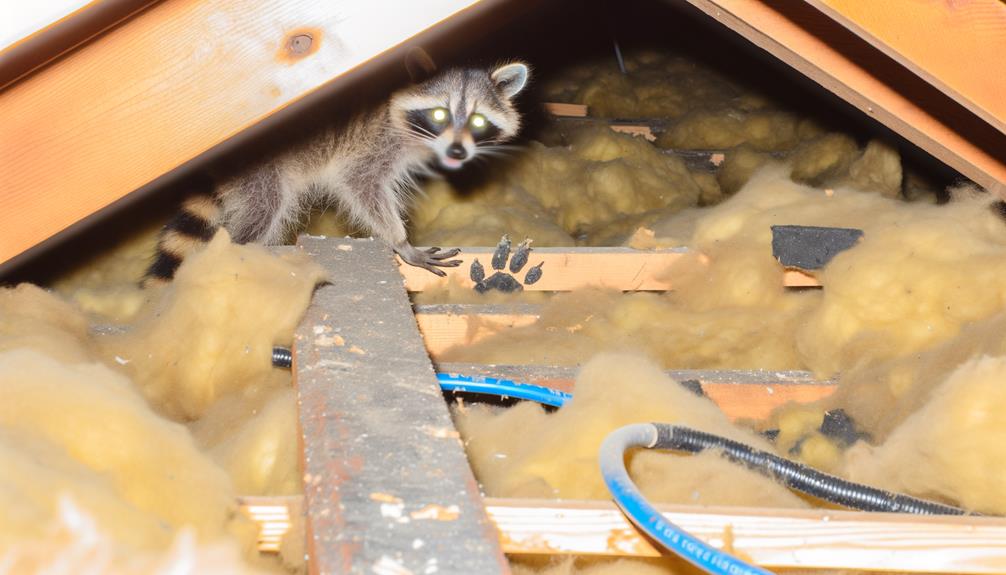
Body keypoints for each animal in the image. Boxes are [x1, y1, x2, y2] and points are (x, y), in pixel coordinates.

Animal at [146, 61, 535, 283]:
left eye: (478, 121)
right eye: (440, 114)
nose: (457, 152)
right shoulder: (374, 143)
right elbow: (361, 185)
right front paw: (401, 242)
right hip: (261, 174)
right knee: (264, 211)